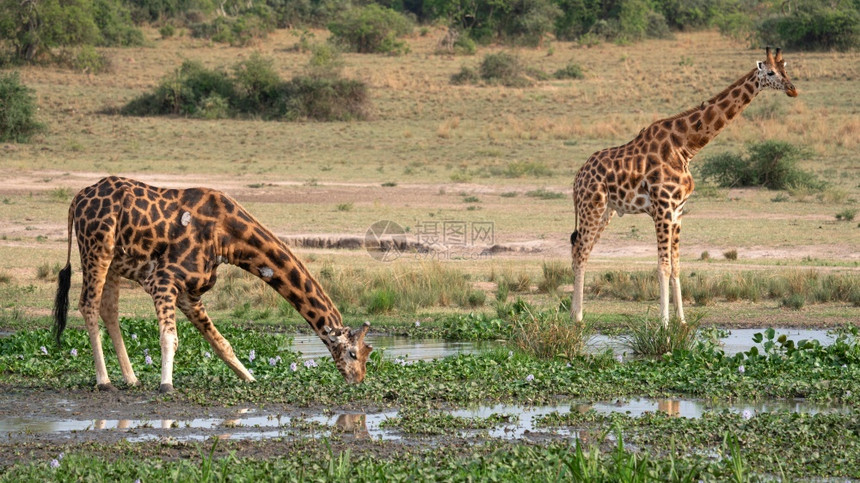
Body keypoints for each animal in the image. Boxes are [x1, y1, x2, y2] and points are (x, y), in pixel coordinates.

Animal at [53, 177, 372, 394]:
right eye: (353, 354)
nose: (358, 380)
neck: (227, 237)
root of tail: (76, 199)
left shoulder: (190, 294)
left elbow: (221, 344)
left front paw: (250, 378)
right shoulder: (163, 280)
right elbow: (169, 338)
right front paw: (166, 385)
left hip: (114, 261)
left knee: (109, 310)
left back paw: (131, 378)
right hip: (96, 249)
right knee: (88, 305)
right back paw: (104, 381)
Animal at [572, 48, 800, 326]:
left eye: (786, 69)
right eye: (770, 72)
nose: (792, 89)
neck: (686, 147)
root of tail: (578, 177)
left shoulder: (678, 211)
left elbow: (677, 266)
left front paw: (680, 320)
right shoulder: (662, 208)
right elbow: (663, 266)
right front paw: (663, 323)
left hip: (607, 211)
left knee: (580, 250)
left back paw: (573, 313)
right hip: (592, 207)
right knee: (581, 252)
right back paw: (578, 317)